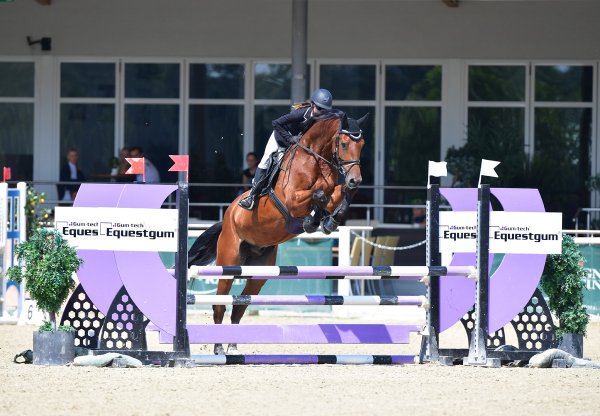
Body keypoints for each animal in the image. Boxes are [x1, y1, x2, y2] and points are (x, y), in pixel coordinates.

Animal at [189, 110, 366, 354]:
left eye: (362, 144)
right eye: (344, 143)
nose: (355, 179)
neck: (315, 160)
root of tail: (227, 216)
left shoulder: (334, 192)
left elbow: (340, 194)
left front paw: (330, 220)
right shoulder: (292, 199)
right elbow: (318, 195)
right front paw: (312, 221)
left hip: (259, 272)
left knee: (239, 305)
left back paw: (233, 347)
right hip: (228, 262)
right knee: (219, 305)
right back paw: (218, 349)